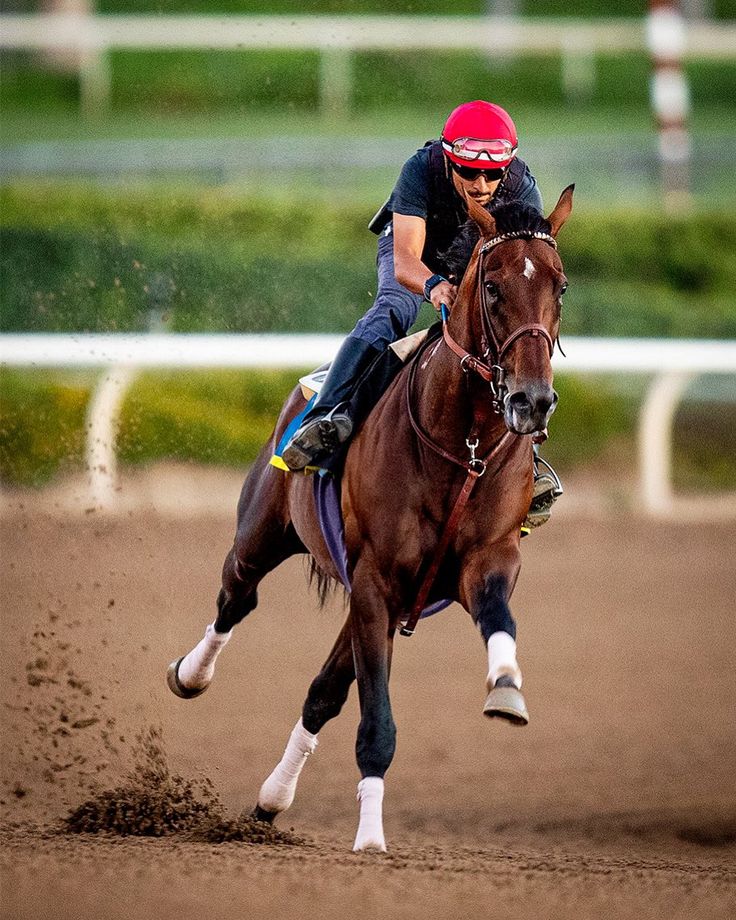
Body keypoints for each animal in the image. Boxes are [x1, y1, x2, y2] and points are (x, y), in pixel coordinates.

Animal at [167, 183, 576, 852]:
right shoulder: (376, 580)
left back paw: (271, 799)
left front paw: (507, 689)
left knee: (322, 694)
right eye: (492, 287)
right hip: (264, 533)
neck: (462, 446)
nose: (531, 399)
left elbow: (498, 616)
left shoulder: (482, 561)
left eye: (559, 286)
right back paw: (191, 674)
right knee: (236, 597)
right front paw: (370, 837)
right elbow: (376, 720)